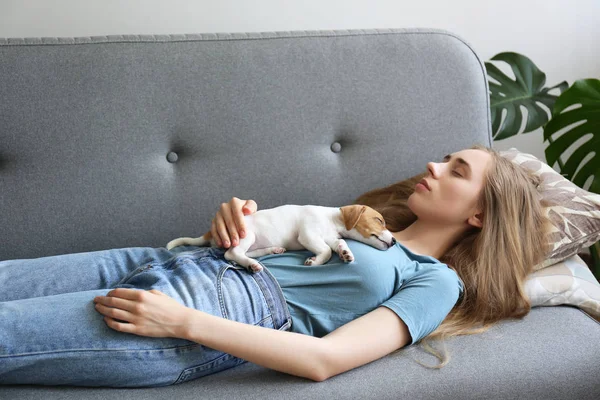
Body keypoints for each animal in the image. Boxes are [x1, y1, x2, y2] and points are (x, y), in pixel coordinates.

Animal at [166, 205, 396, 274]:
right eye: (379, 220)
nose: (394, 242)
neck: (332, 218)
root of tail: (211, 233)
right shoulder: (308, 235)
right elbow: (325, 251)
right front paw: (314, 261)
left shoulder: (330, 237)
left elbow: (338, 244)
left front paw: (346, 252)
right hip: (246, 235)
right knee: (232, 253)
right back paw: (251, 264)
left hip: (253, 241)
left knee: (239, 253)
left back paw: (270, 251)